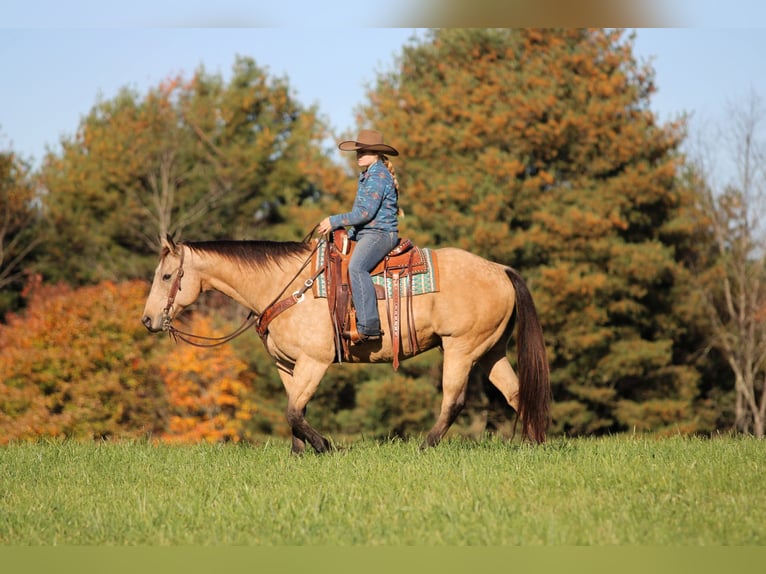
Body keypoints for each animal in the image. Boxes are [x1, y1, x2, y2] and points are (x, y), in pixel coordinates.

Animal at [141, 234, 551, 454]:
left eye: (167, 276)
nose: (148, 320)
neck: (290, 287)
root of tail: (500, 270)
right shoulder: (287, 365)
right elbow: (295, 410)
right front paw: (298, 454)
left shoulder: (314, 361)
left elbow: (294, 412)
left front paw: (324, 446)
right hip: (490, 352)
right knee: (516, 393)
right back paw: (534, 443)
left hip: (460, 349)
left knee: (454, 401)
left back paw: (424, 447)